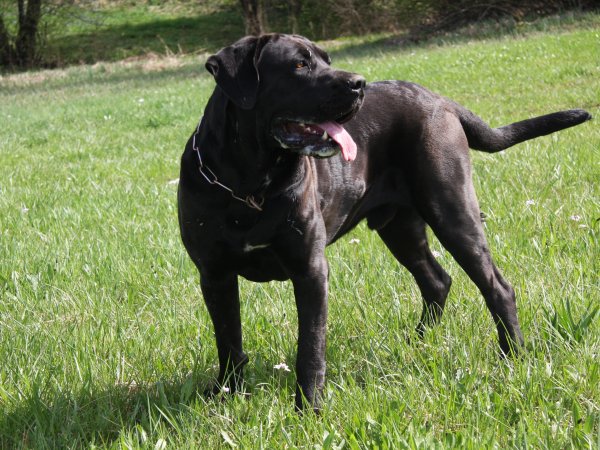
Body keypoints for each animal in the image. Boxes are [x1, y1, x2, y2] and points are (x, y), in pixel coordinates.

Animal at [177, 31, 592, 412]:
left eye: (327, 60)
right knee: (436, 280)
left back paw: (513, 356)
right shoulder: (215, 275)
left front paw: (309, 409)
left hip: (452, 212)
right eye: (299, 64)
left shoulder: (310, 270)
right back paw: (418, 342)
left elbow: (310, 346)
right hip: (401, 228)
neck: (251, 184)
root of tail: (439, 100)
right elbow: (228, 339)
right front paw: (225, 396)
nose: (358, 82)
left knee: (497, 287)